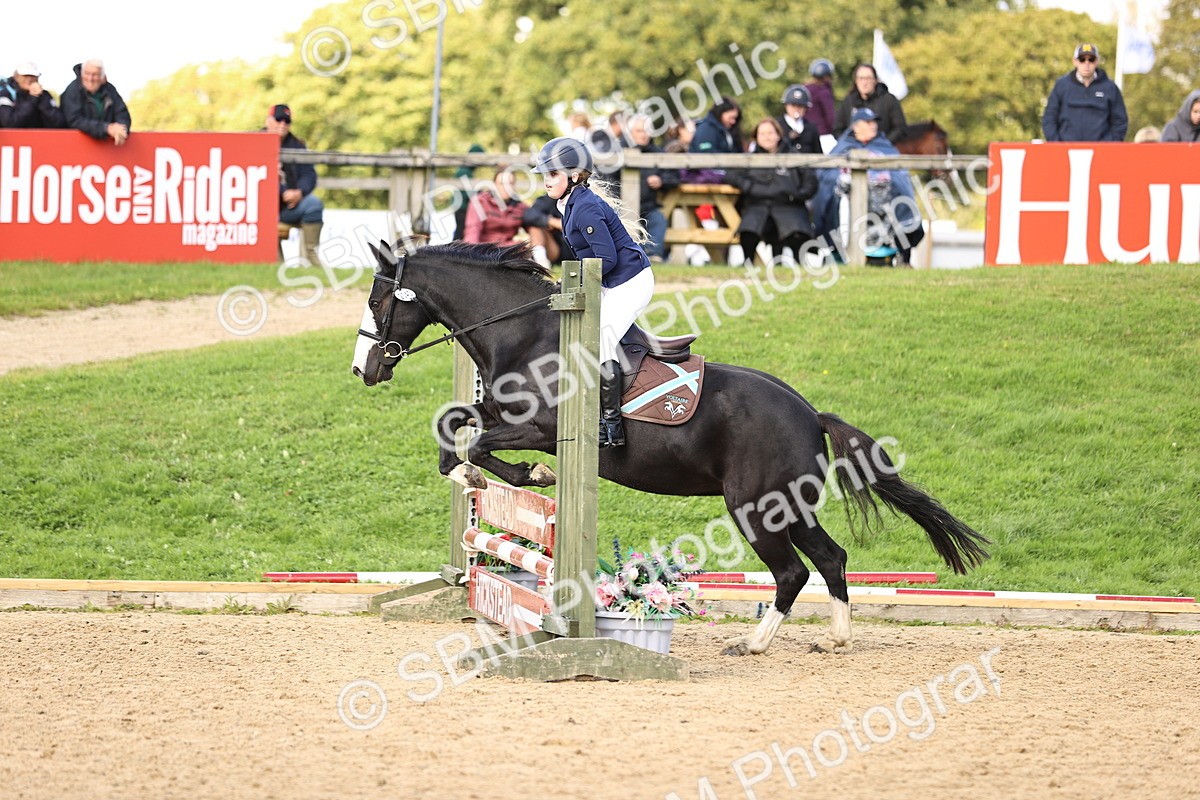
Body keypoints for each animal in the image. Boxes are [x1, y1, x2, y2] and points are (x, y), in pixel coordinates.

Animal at [351, 240, 989, 657]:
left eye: (380, 303)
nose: (364, 370)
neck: (525, 334)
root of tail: (810, 414)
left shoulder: (540, 429)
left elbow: (482, 444)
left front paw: (528, 476)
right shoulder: (497, 410)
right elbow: (453, 425)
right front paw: (468, 479)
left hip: (754, 506)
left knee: (791, 572)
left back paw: (754, 643)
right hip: (790, 505)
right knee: (830, 559)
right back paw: (835, 638)